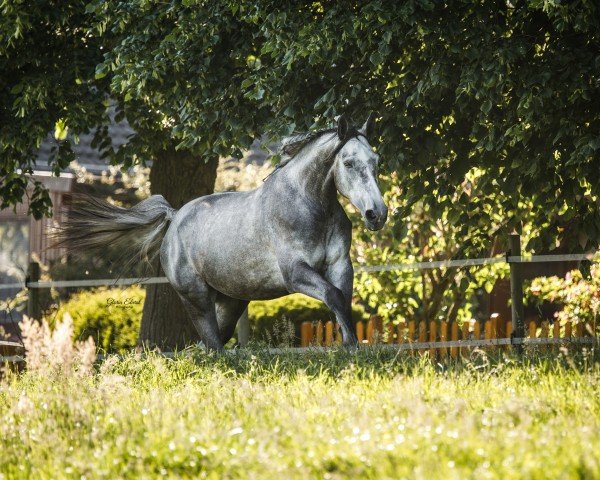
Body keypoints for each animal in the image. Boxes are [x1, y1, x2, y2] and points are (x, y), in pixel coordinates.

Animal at [63, 115, 386, 348]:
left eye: (376, 161)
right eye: (348, 162)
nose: (377, 214)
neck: (309, 205)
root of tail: (175, 217)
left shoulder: (340, 265)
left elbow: (342, 302)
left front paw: (352, 349)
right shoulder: (295, 273)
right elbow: (333, 296)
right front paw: (350, 350)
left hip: (230, 303)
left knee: (212, 343)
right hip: (196, 299)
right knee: (212, 346)